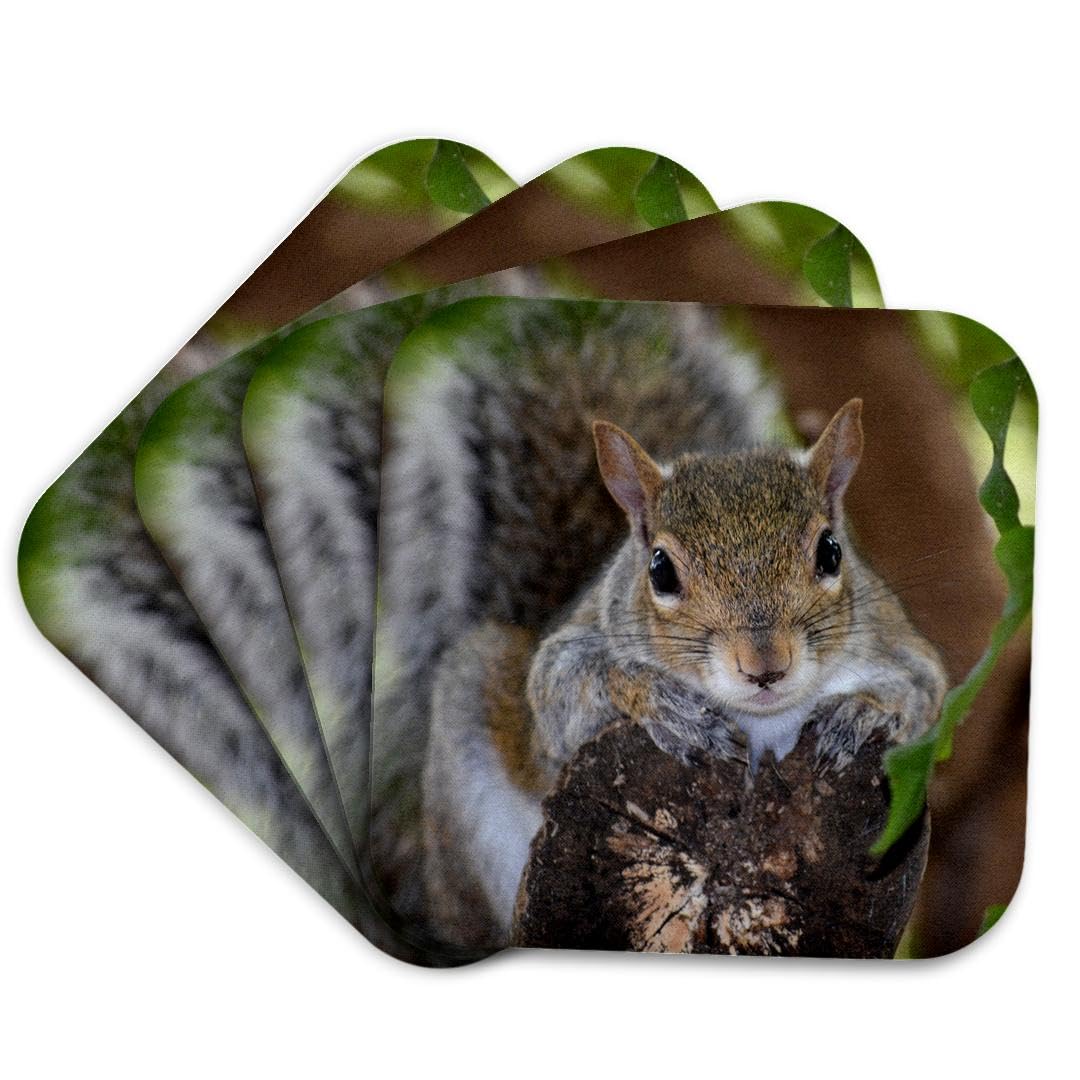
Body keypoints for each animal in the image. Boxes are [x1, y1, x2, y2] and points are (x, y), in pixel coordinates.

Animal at [372, 299, 947, 950]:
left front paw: (860, 711)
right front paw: (662, 704)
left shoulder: (895, 642)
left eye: (831, 552)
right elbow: (565, 695)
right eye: (661, 570)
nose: (765, 666)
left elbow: (923, 691)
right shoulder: (569, 670)